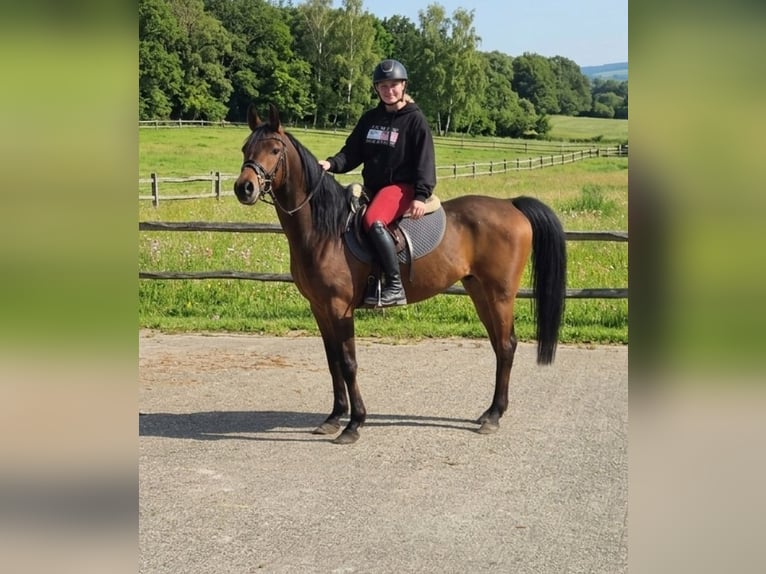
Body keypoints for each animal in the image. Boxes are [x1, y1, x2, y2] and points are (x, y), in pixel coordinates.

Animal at [234, 104, 567, 444]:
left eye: (275, 150)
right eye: (246, 148)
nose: (244, 187)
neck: (326, 232)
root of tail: (511, 205)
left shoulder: (340, 309)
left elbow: (349, 363)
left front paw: (355, 423)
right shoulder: (320, 308)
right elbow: (332, 362)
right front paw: (334, 417)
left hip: (500, 295)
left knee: (507, 345)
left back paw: (495, 415)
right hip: (479, 292)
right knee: (499, 345)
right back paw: (489, 412)